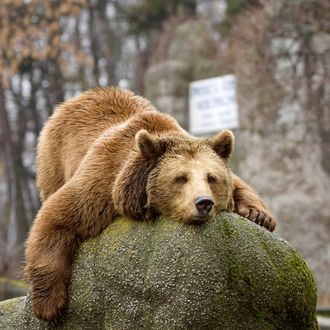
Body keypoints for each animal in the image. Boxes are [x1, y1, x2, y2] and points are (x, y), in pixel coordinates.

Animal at [25, 86, 276, 320]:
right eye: (181, 177)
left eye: (211, 177)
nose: (203, 203)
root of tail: (83, 95)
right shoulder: (102, 182)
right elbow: (57, 217)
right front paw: (49, 305)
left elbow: (241, 186)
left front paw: (260, 216)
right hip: (54, 160)